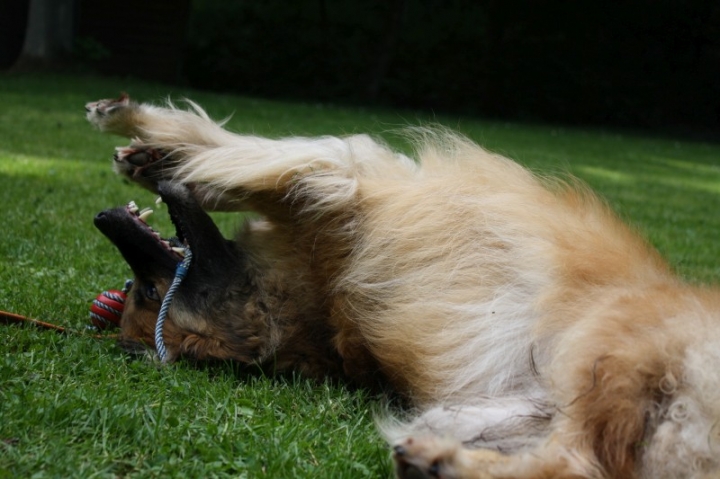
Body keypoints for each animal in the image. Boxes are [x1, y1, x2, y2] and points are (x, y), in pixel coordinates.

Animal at [87, 95, 716, 478]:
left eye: (144, 290)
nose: (103, 218)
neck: (314, 304)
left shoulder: (341, 178)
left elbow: (229, 158)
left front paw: (146, 151)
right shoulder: (344, 177)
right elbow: (237, 157)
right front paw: (151, 147)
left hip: (603, 354)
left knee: (579, 462)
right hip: (559, 386)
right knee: (574, 464)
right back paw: (435, 458)